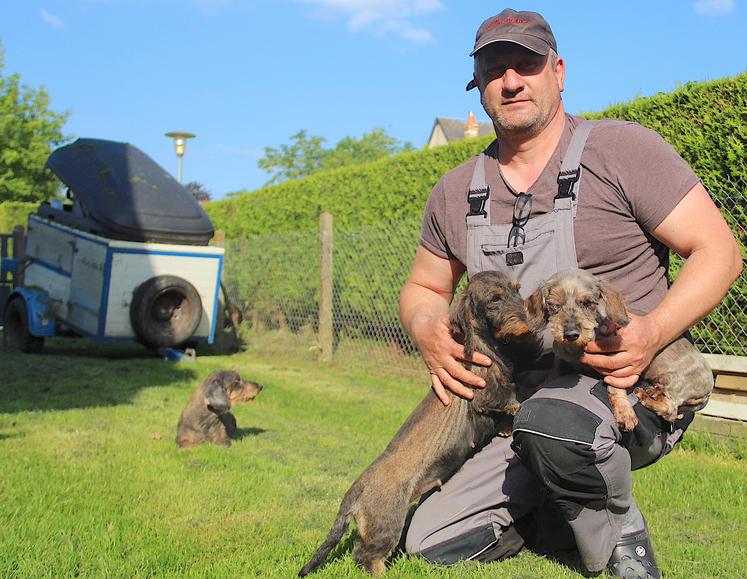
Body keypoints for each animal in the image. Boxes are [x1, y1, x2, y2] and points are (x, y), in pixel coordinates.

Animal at [300, 272, 544, 576]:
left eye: (515, 291)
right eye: (494, 300)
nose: (528, 323)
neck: (485, 346)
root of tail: (355, 492)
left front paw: (506, 428)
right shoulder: (488, 396)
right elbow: (515, 400)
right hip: (387, 527)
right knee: (366, 556)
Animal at [524, 270, 712, 432]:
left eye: (588, 303)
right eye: (554, 305)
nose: (571, 334)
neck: (577, 349)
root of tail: (708, 390)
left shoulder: (617, 365)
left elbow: (616, 388)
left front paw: (624, 412)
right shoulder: (561, 356)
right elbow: (555, 371)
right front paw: (541, 385)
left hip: (675, 381)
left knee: (670, 411)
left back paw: (645, 397)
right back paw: (654, 392)